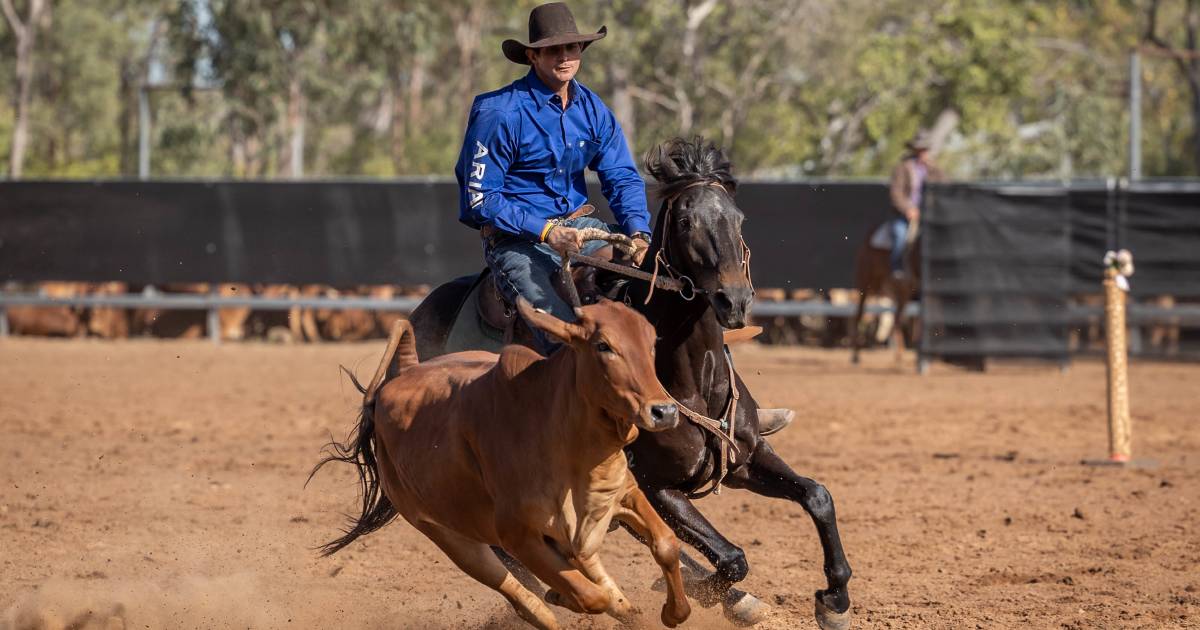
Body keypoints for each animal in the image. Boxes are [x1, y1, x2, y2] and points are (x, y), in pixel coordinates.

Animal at [319, 301, 691, 628]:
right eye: (604, 345)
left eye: (651, 343)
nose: (664, 411)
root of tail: (406, 372)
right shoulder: (519, 537)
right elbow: (590, 596)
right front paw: (562, 595)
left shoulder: (623, 492)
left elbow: (666, 544)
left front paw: (675, 612)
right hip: (451, 538)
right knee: (528, 603)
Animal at [412, 137, 854, 628]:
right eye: (685, 221)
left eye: (738, 218)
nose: (734, 300)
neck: (688, 378)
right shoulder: (657, 486)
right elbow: (731, 558)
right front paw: (705, 591)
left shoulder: (746, 458)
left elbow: (817, 496)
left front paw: (833, 601)